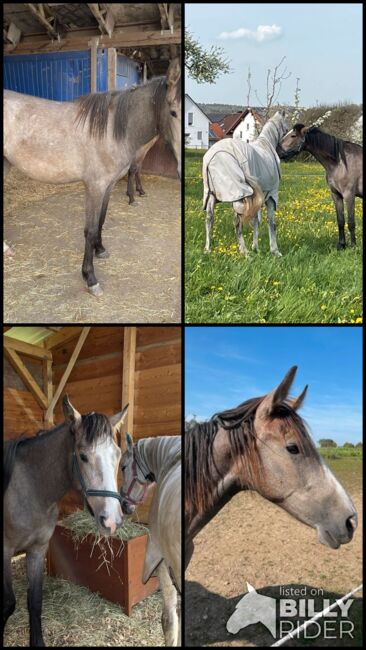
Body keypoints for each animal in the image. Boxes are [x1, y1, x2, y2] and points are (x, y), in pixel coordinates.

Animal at [2, 59, 180, 294]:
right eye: (174, 112)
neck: (112, 129)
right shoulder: (94, 186)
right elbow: (91, 229)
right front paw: (90, 277)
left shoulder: (108, 185)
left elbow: (101, 220)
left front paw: (100, 249)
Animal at [3, 394, 127, 644]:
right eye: (83, 456)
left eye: (118, 455)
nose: (112, 521)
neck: (29, 489)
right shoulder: (4, 550)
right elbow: (8, 603)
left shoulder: (38, 549)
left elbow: (35, 602)